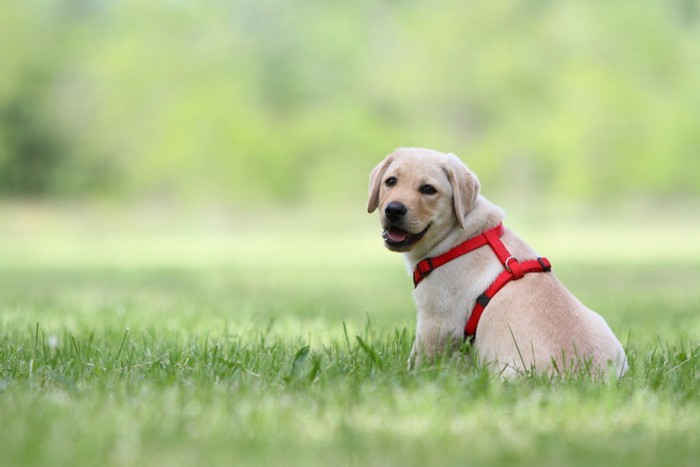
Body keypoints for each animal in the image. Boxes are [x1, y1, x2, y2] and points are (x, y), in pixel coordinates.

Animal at [370, 148, 628, 378]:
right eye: (391, 181)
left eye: (428, 189)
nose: (393, 210)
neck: (458, 237)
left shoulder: (437, 322)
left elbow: (419, 361)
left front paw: (409, 378)